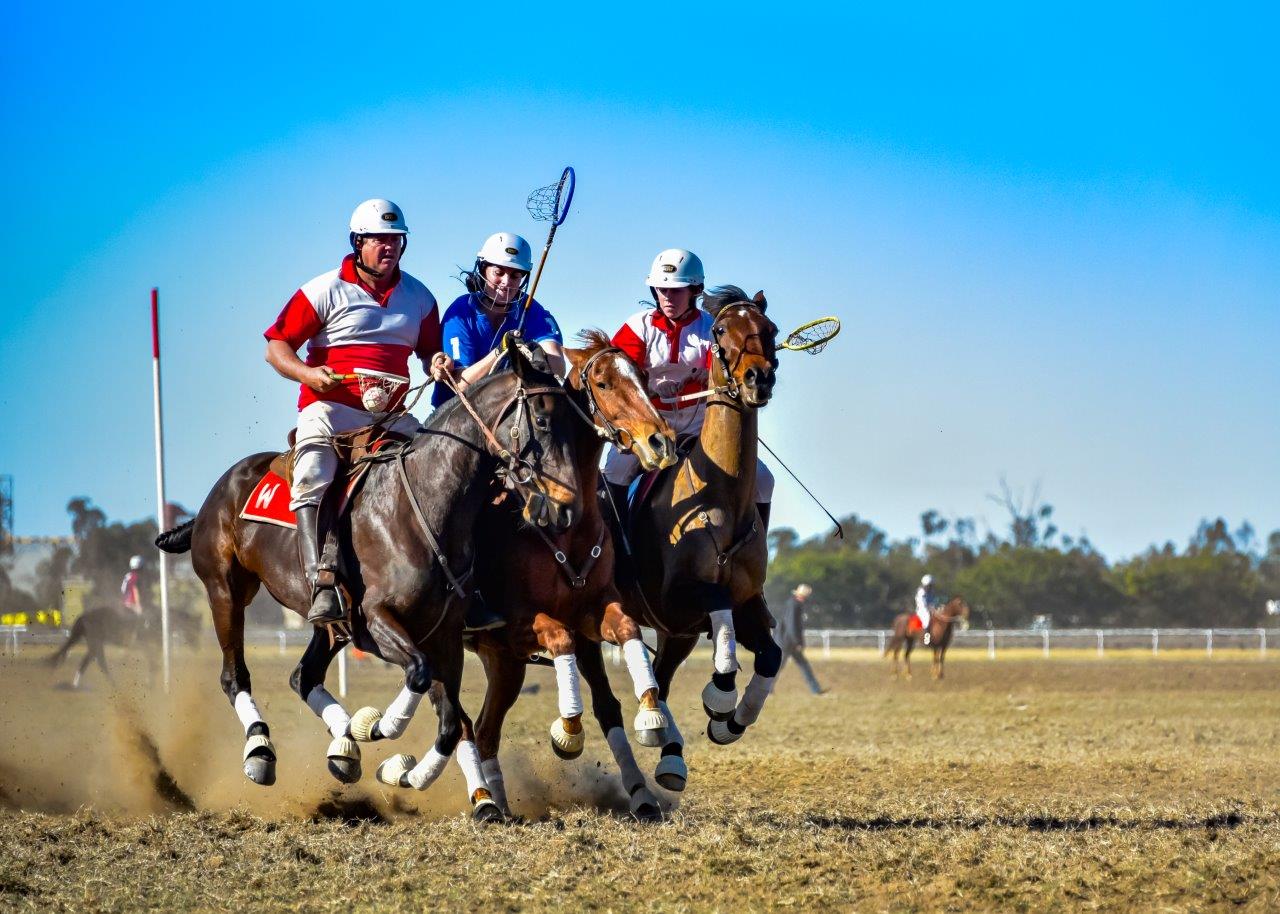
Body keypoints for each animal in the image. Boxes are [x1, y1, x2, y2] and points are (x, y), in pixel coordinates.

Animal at [157, 343, 583, 819]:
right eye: (543, 421)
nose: (565, 508)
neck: (424, 506)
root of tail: (218, 491)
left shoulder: (444, 635)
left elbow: (452, 721)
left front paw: (413, 775)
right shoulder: (374, 622)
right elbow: (419, 675)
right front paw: (380, 727)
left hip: (329, 625)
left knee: (303, 677)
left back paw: (343, 748)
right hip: (226, 591)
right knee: (235, 675)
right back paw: (262, 751)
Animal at [619, 284, 778, 788]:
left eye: (770, 329)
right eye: (722, 330)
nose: (758, 379)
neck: (721, 501)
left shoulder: (745, 602)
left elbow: (771, 655)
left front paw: (730, 721)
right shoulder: (677, 599)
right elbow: (718, 612)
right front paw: (720, 696)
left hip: (679, 635)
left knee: (663, 679)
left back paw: (669, 756)